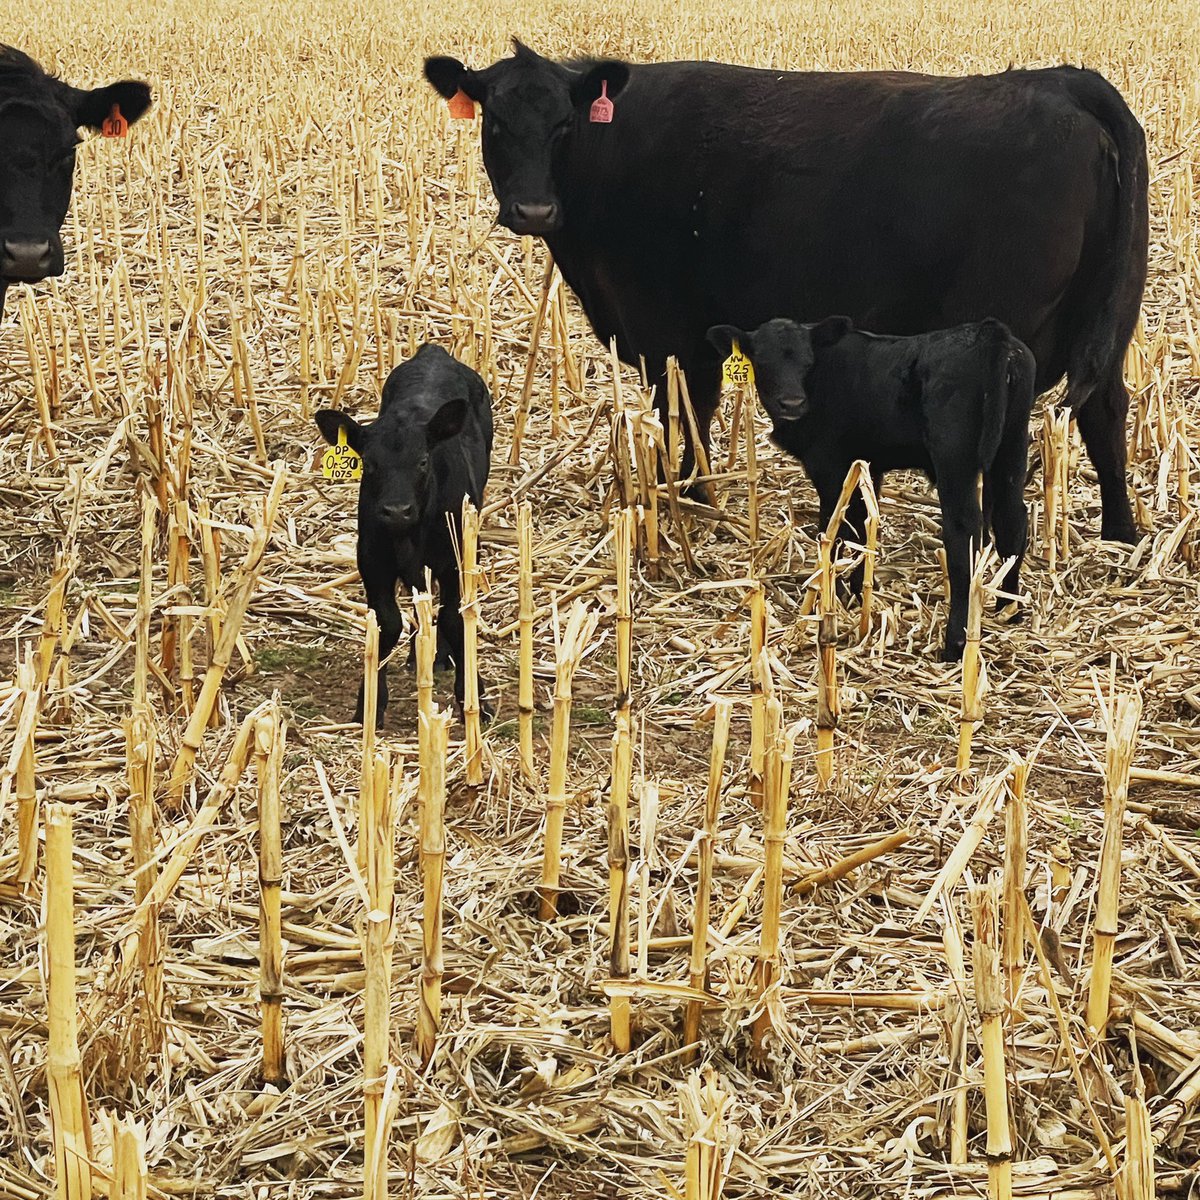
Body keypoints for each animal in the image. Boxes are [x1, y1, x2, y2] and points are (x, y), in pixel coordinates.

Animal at [315, 344, 494, 728]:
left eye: (423, 461)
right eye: (369, 463)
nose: (397, 510)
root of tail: (434, 352)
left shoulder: (454, 559)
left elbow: (455, 619)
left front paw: (473, 699)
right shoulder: (372, 561)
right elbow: (386, 623)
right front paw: (368, 706)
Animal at [424, 42, 1147, 543]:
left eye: (563, 126)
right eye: (493, 123)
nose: (534, 209)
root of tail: (1060, 80)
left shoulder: (666, 331)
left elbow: (683, 414)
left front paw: (683, 499)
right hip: (1104, 326)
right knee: (1105, 411)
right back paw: (1120, 533)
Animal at [707, 316, 1035, 660]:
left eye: (807, 362)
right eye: (763, 362)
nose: (792, 403)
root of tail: (989, 331)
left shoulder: (829, 465)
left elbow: (835, 530)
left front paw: (832, 595)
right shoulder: (868, 464)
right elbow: (863, 525)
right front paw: (858, 589)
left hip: (955, 458)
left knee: (965, 533)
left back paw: (955, 643)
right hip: (1012, 448)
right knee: (1012, 522)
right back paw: (1009, 610)